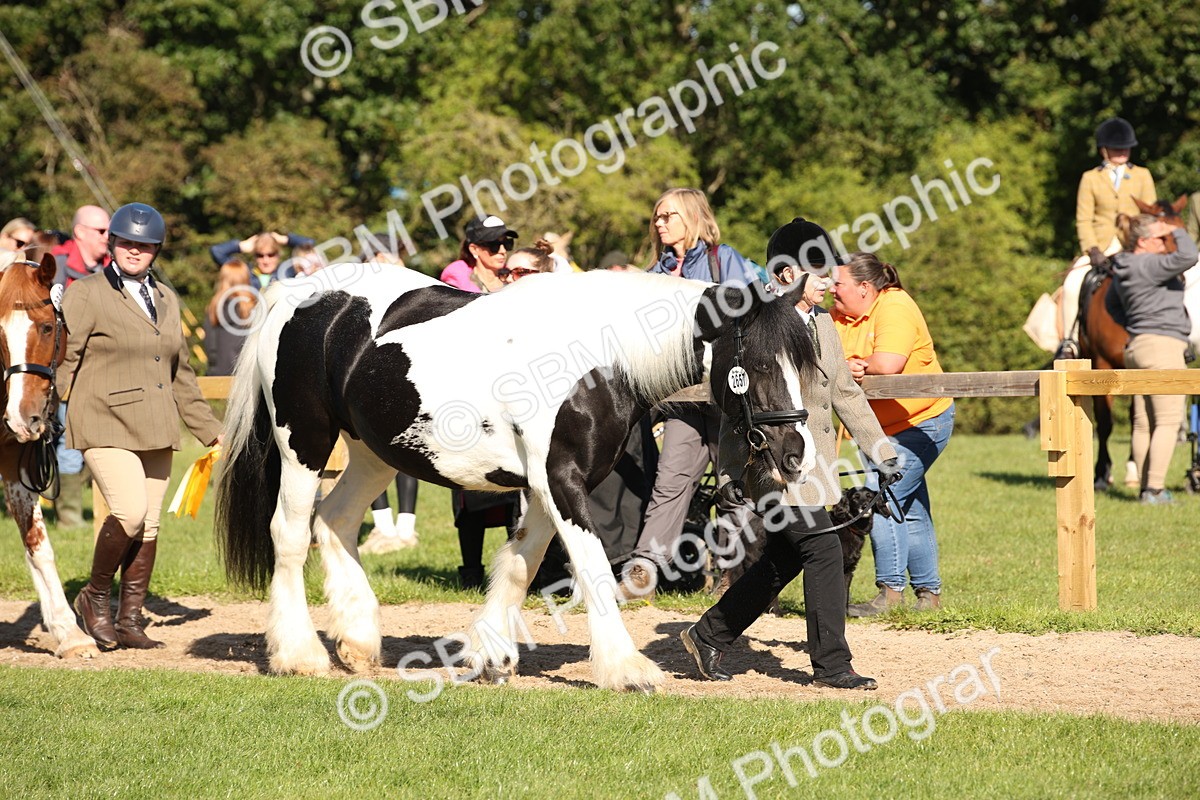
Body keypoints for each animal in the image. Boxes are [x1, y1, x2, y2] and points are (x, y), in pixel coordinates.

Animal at [215, 266, 815, 691]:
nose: (794, 455)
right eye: (761, 364)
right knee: (291, 535)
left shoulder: (547, 486)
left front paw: (491, 656)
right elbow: (592, 568)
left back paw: (358, 644)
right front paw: (626, 669)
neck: (598, 356)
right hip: (304, 444)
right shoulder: (560, 481)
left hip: (372, 453)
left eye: (804, 363)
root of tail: (294, 293)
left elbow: (520, 564)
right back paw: (299, 655)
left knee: (335, 520)